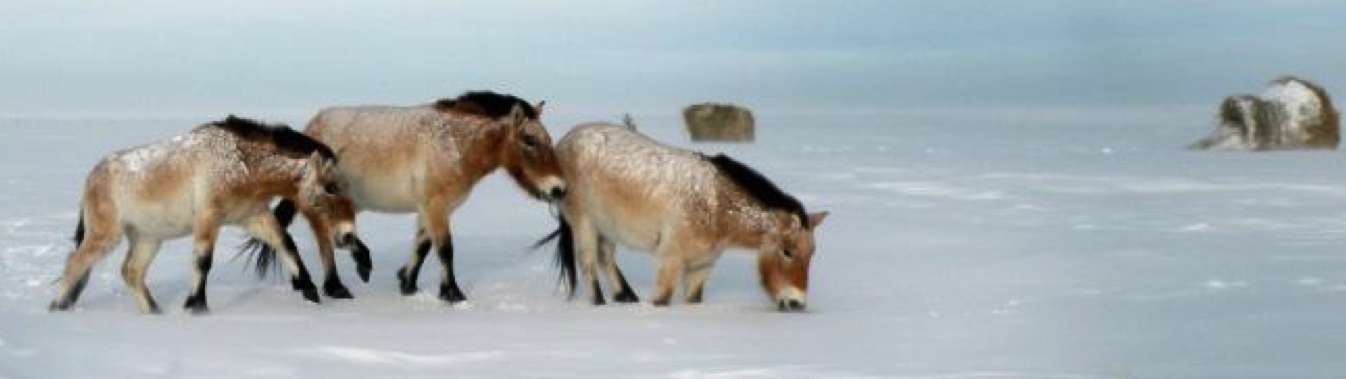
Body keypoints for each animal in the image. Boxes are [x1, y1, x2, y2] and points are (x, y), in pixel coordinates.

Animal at [242, 90, 568, 302]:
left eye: (549, 139)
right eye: (529, 139)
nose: (558, 189)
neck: (453, 143)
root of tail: (312, 126)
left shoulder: (434, 207)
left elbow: (423, 245)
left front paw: (407, 283)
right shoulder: (435, 205)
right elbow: (445, 249)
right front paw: (453, 294)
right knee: (325, 239)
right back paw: (338, 284)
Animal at [535, 122, 818, 311]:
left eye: (811, 254)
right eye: (787, 251)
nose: (796, 302)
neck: (715, 202)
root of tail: (565, 141)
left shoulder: (701, 267)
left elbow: (692, 300)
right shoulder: (669, 259)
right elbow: (661, 300)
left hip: (608, 227)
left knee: (606, 257)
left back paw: (624, 297)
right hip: (584, 223)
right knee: (589, 262)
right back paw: (600, 303)